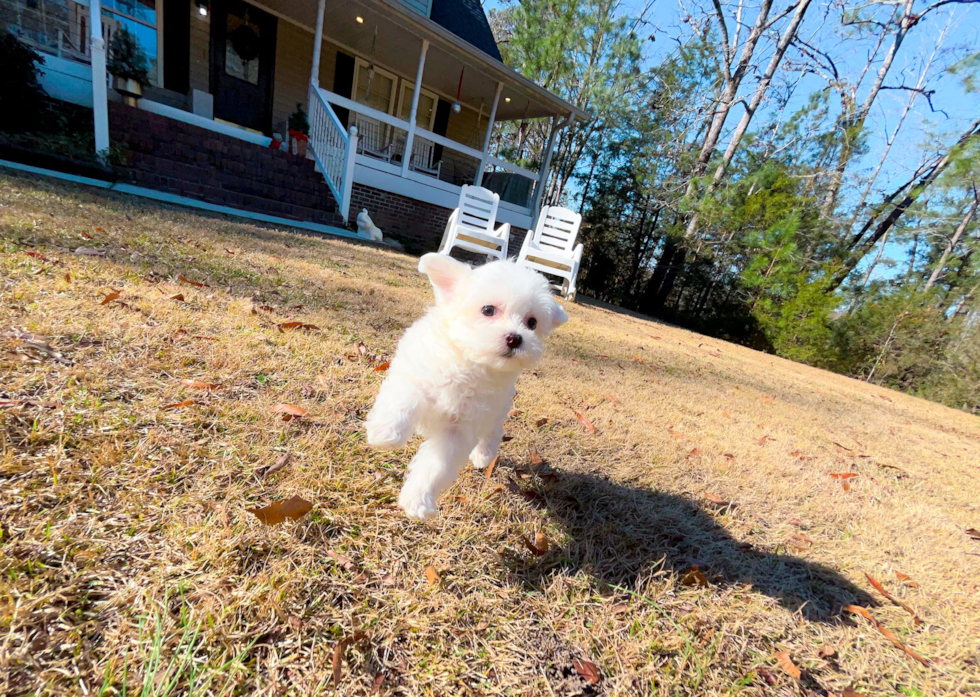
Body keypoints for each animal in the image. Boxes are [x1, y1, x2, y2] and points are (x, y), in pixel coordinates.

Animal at [366, 253, 568, 520]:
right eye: (488, 310)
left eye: (532, 322)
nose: (515, 338)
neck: (469, 362)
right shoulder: (415, 372)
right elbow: (405, 397)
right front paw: (386, 432)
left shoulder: (461, 428)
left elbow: (437, 464)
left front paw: (418, 499)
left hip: (498, 408)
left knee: (493, 432)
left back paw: (484, 455)